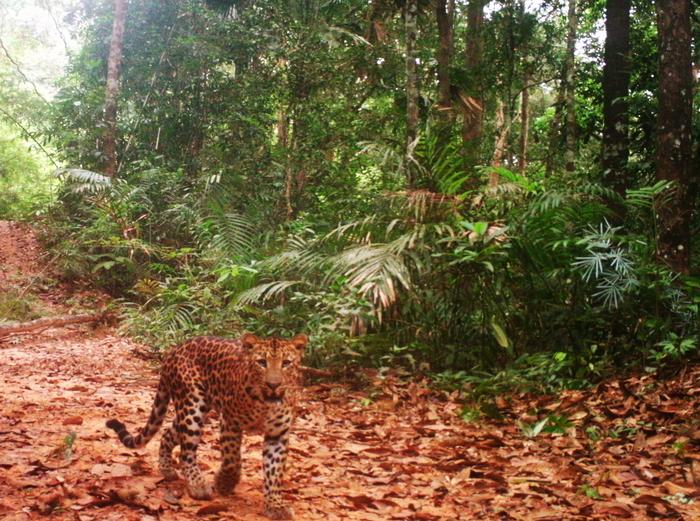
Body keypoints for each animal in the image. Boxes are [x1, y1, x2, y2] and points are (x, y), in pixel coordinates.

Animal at [106, 333, 308, 520]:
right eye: (261, 362)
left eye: (286, 363)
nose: (273, 384)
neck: (265, 405)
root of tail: (176, 348)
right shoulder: (230, 422)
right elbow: (232, 460)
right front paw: (224, 484)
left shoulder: (278, 434)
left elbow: (274, 471)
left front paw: (275, 505)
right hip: (192, 406)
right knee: (187, 452)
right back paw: (197, 485)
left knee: (168, 433)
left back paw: (166, 468)